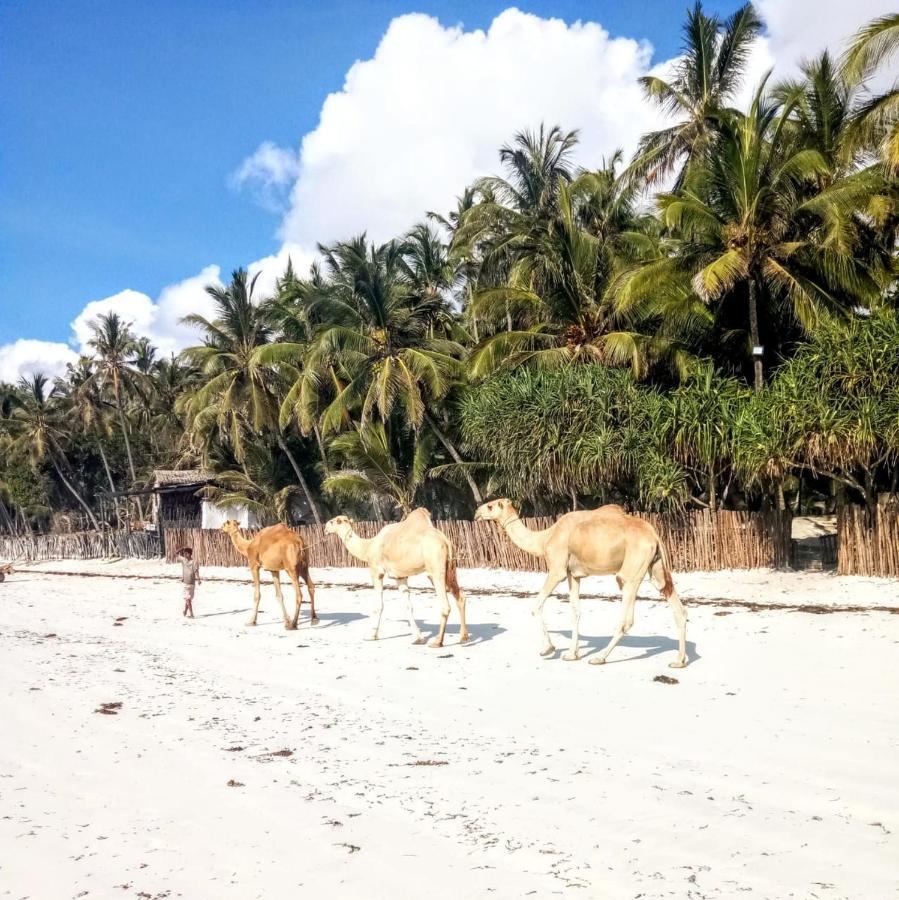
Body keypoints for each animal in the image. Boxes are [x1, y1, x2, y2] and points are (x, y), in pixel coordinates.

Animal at [324, 506, 468, 648]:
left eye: (333, 521)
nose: (325, 528)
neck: (368, 547)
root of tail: (446, 541)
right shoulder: (400, 577)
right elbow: (408, 606)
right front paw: (418, 638)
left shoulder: (376, 571)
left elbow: (379, 605)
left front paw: (371, 636)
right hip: (450, 568)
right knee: (460, 596)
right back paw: (463, 637)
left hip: (435, 568)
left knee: (445, 605)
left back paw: (437, 642)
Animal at [472, 500, 688, 668]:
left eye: (490, 505)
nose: (476, 513)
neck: (544, 538)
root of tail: (654, 535)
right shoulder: (573, 575)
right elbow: (575, 612)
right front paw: (571, 654)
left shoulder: (557, 570)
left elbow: (536, 605)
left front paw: (548, 649)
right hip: (656, 568)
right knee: (677, 606)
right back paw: (679, 661)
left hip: (631, 572)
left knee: (627, 617)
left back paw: (599, 658)